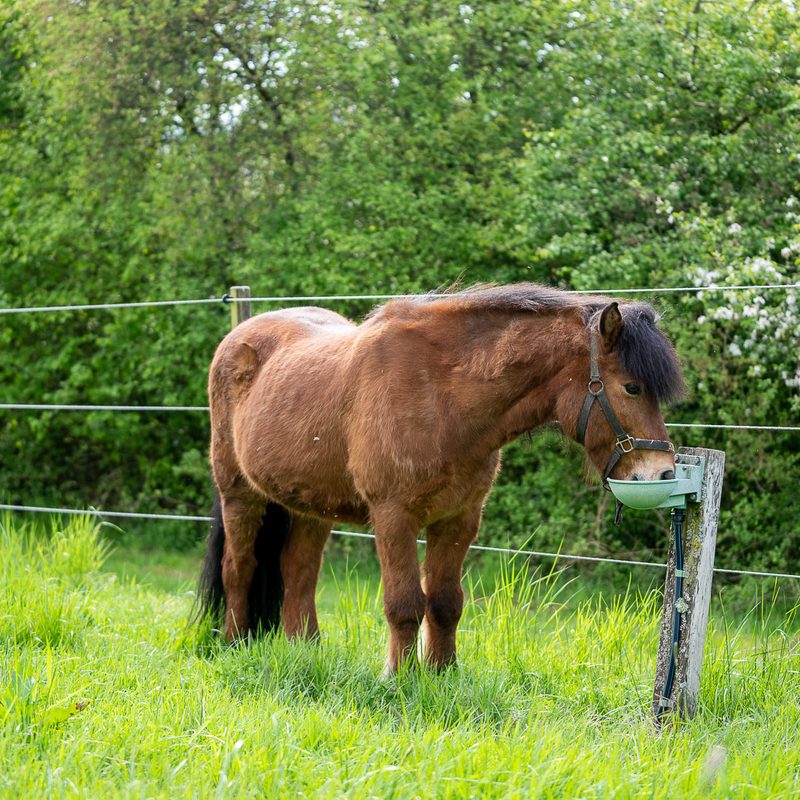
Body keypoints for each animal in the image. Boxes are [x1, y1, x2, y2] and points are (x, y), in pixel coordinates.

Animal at [197, 283, 685, 674]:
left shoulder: (459, 519)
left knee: (298, 572)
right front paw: (400, 678)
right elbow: (404, 604)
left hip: (311, 508)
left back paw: (306, 651)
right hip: (239, 493)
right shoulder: (394, 516)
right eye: (632, 387)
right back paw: (233, 644)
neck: (442, 394)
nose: (661, 472)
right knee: (238, 567)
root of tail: (239, 337)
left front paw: (443, 673)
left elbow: (447, 603)